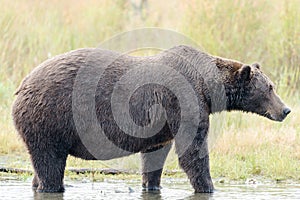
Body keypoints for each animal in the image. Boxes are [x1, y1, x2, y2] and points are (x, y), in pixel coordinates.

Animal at [12, 45, 290, 192]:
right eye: (270, 88)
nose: (286, 110)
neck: (206, 85)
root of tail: (21, 87)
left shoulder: (162, 122)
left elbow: (155, 154)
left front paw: (152, 184)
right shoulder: (185, 101)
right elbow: (194, 151)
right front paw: (208, 186)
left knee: (41, 165)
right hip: (50, 117)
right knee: (50, 164)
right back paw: (52, 187)